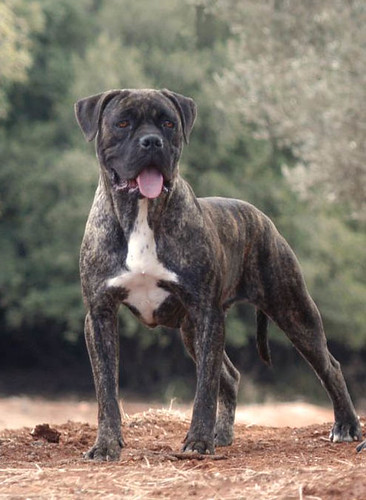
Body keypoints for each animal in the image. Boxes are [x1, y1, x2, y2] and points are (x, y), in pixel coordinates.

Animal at [75, 89, 364, 460]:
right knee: (231, 374)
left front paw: (197, 441)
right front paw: (107, 445)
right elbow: (106, 389)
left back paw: (346, 426)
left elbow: (204, 388)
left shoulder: (207, 314)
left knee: (329, 366)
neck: (141, 213)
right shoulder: (100, 314)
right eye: (122, 123)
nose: (151, 141)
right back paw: (223, 434)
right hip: (191, 329)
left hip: (293, 311)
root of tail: (260, 215)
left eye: (169, 123)